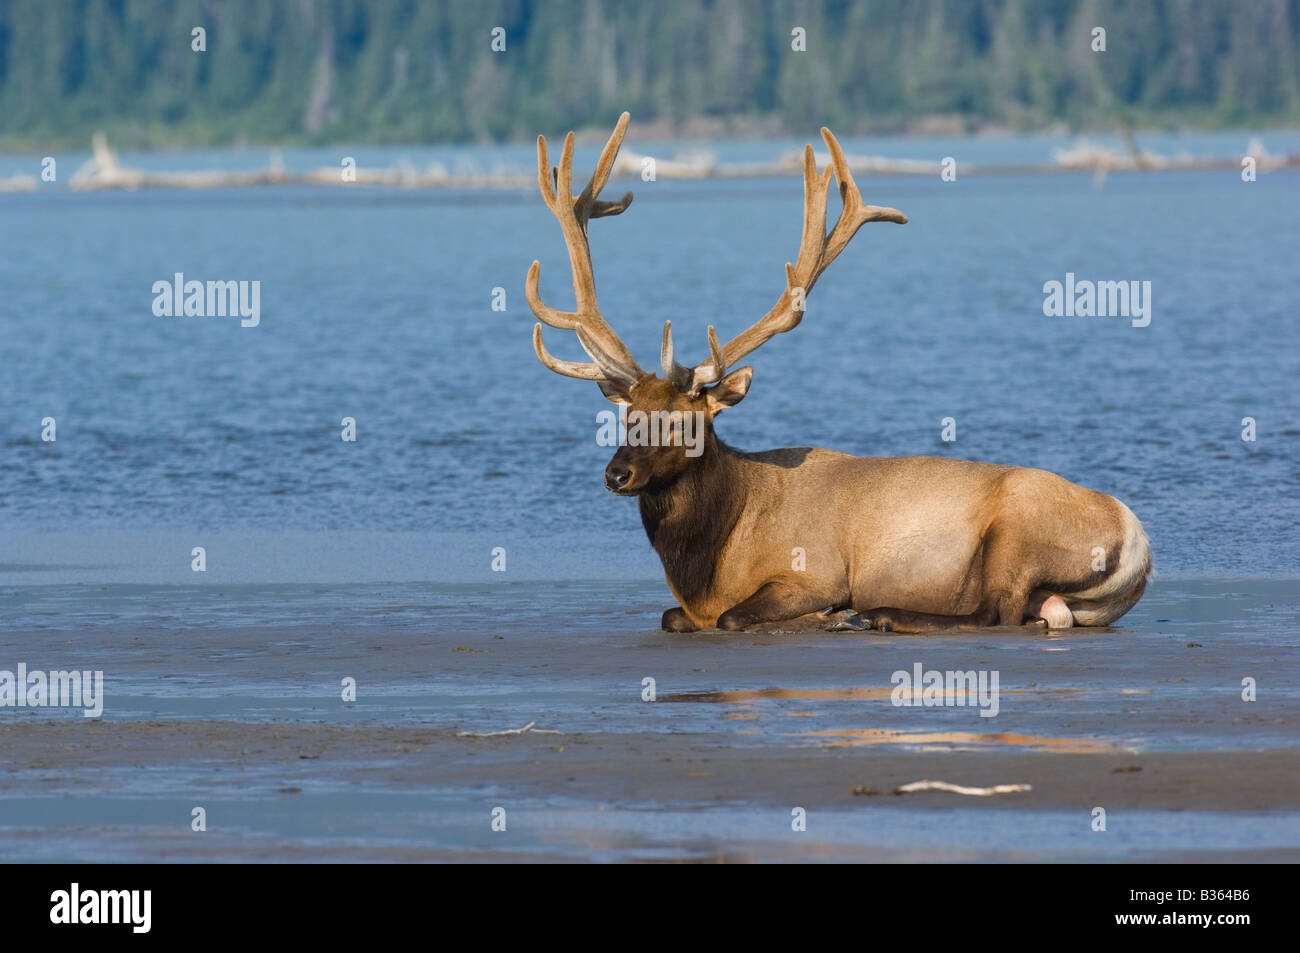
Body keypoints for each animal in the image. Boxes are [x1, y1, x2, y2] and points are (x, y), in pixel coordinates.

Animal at [522, 113, 1154, 631]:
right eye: (626, 416)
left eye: (682, 421)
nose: (616, 474)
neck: (710, 565)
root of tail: (1136, 542)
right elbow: (670, 616)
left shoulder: (813, 570)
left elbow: (731, 617)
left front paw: (830, 613)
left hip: (1016, 532)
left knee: (996, 611)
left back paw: (879, 614)